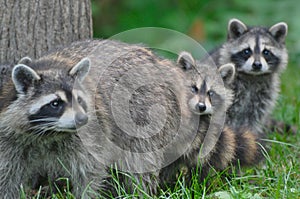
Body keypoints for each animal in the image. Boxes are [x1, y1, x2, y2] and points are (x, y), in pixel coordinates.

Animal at [0, 56, 109, 197]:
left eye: (79, 100)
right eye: (55, 103)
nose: (82, 119)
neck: (48, 133)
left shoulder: (89, 137)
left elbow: (89, 172)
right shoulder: (8, 142)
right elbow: (7, 177)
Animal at [159, 52, 262, 187]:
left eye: (211, 93)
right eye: (194, 88)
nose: (201, 106)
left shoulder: (209, 134)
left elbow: (202, 160)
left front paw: (199, 184)